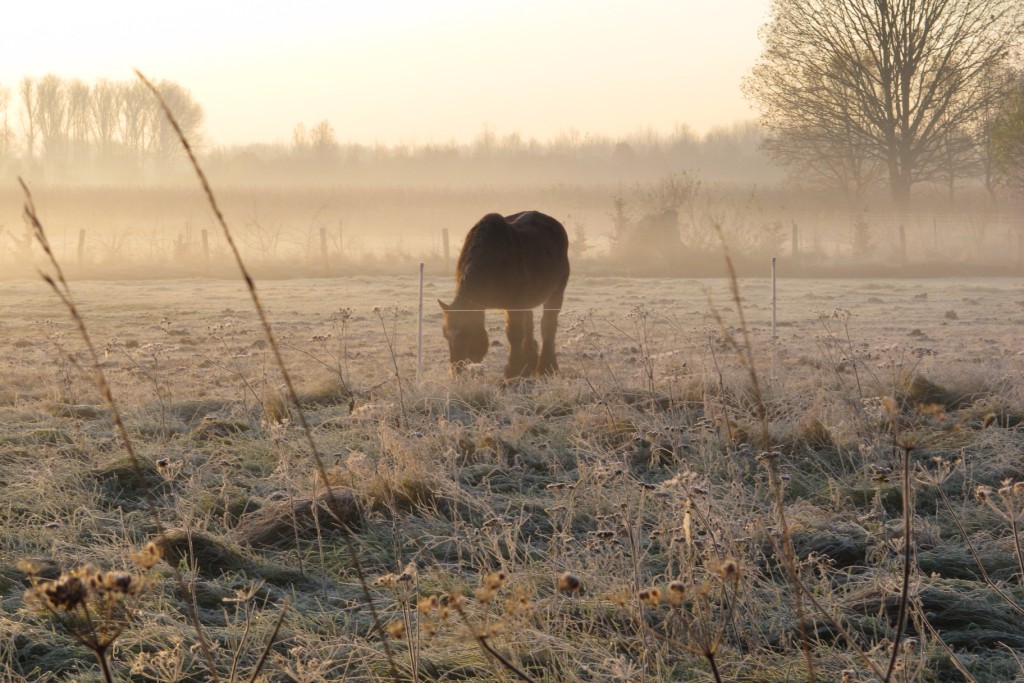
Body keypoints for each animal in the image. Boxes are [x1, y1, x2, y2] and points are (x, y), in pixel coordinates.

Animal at [438, 210, 573, 378]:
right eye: (445, 335)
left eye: (465, 334)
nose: (457, 370)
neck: (492, 259)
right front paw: (521, 369)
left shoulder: (514, 303)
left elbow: (514, 333)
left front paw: (512, 372)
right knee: (529, 324)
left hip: (556, 292)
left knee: (548, 324)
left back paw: (547, 367)